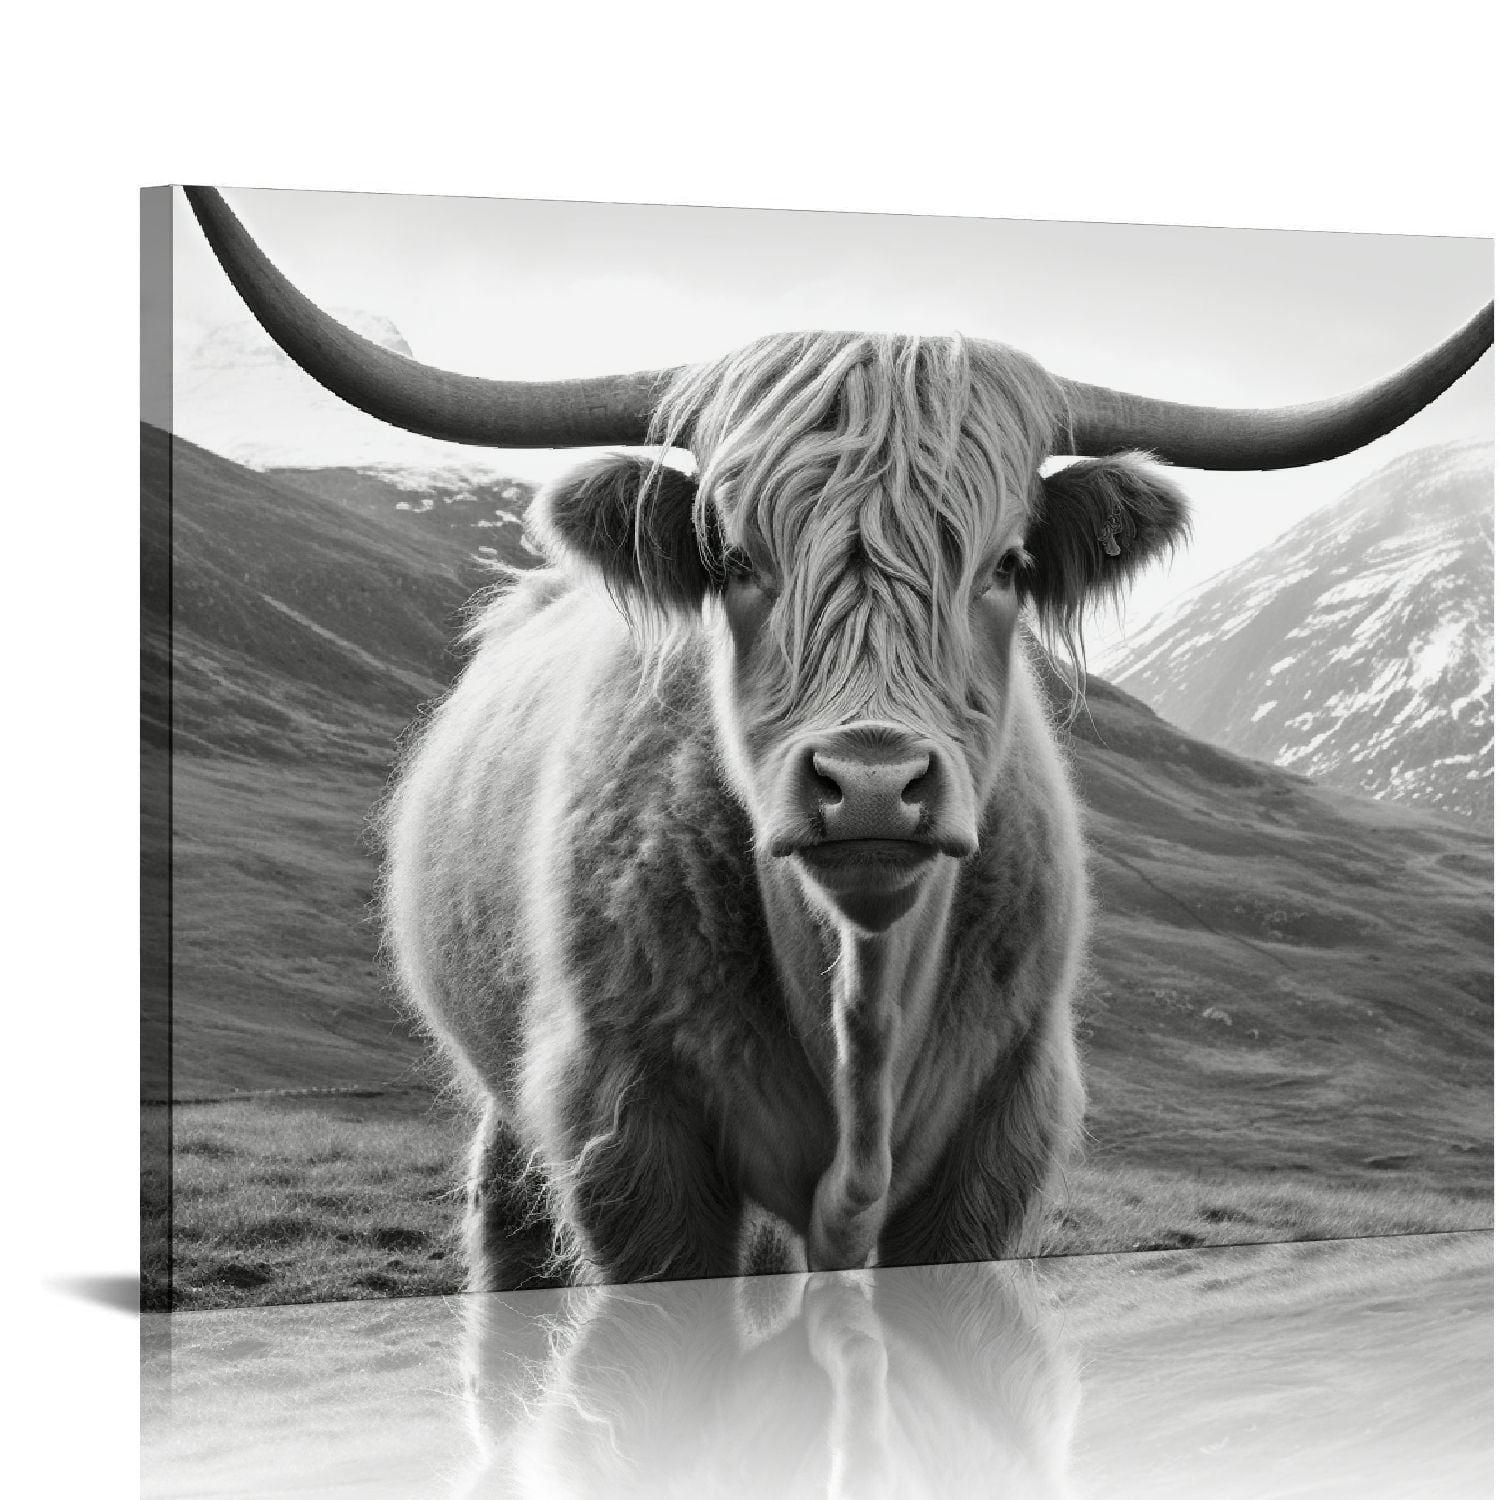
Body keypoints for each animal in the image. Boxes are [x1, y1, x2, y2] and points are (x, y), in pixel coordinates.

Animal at [185, 187, 1493, 1287]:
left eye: (1008, 562)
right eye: (730, 558)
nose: (870, 784)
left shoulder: (997, 1142)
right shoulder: (629, 1135)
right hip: (512, 1103)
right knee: (509, 1228)